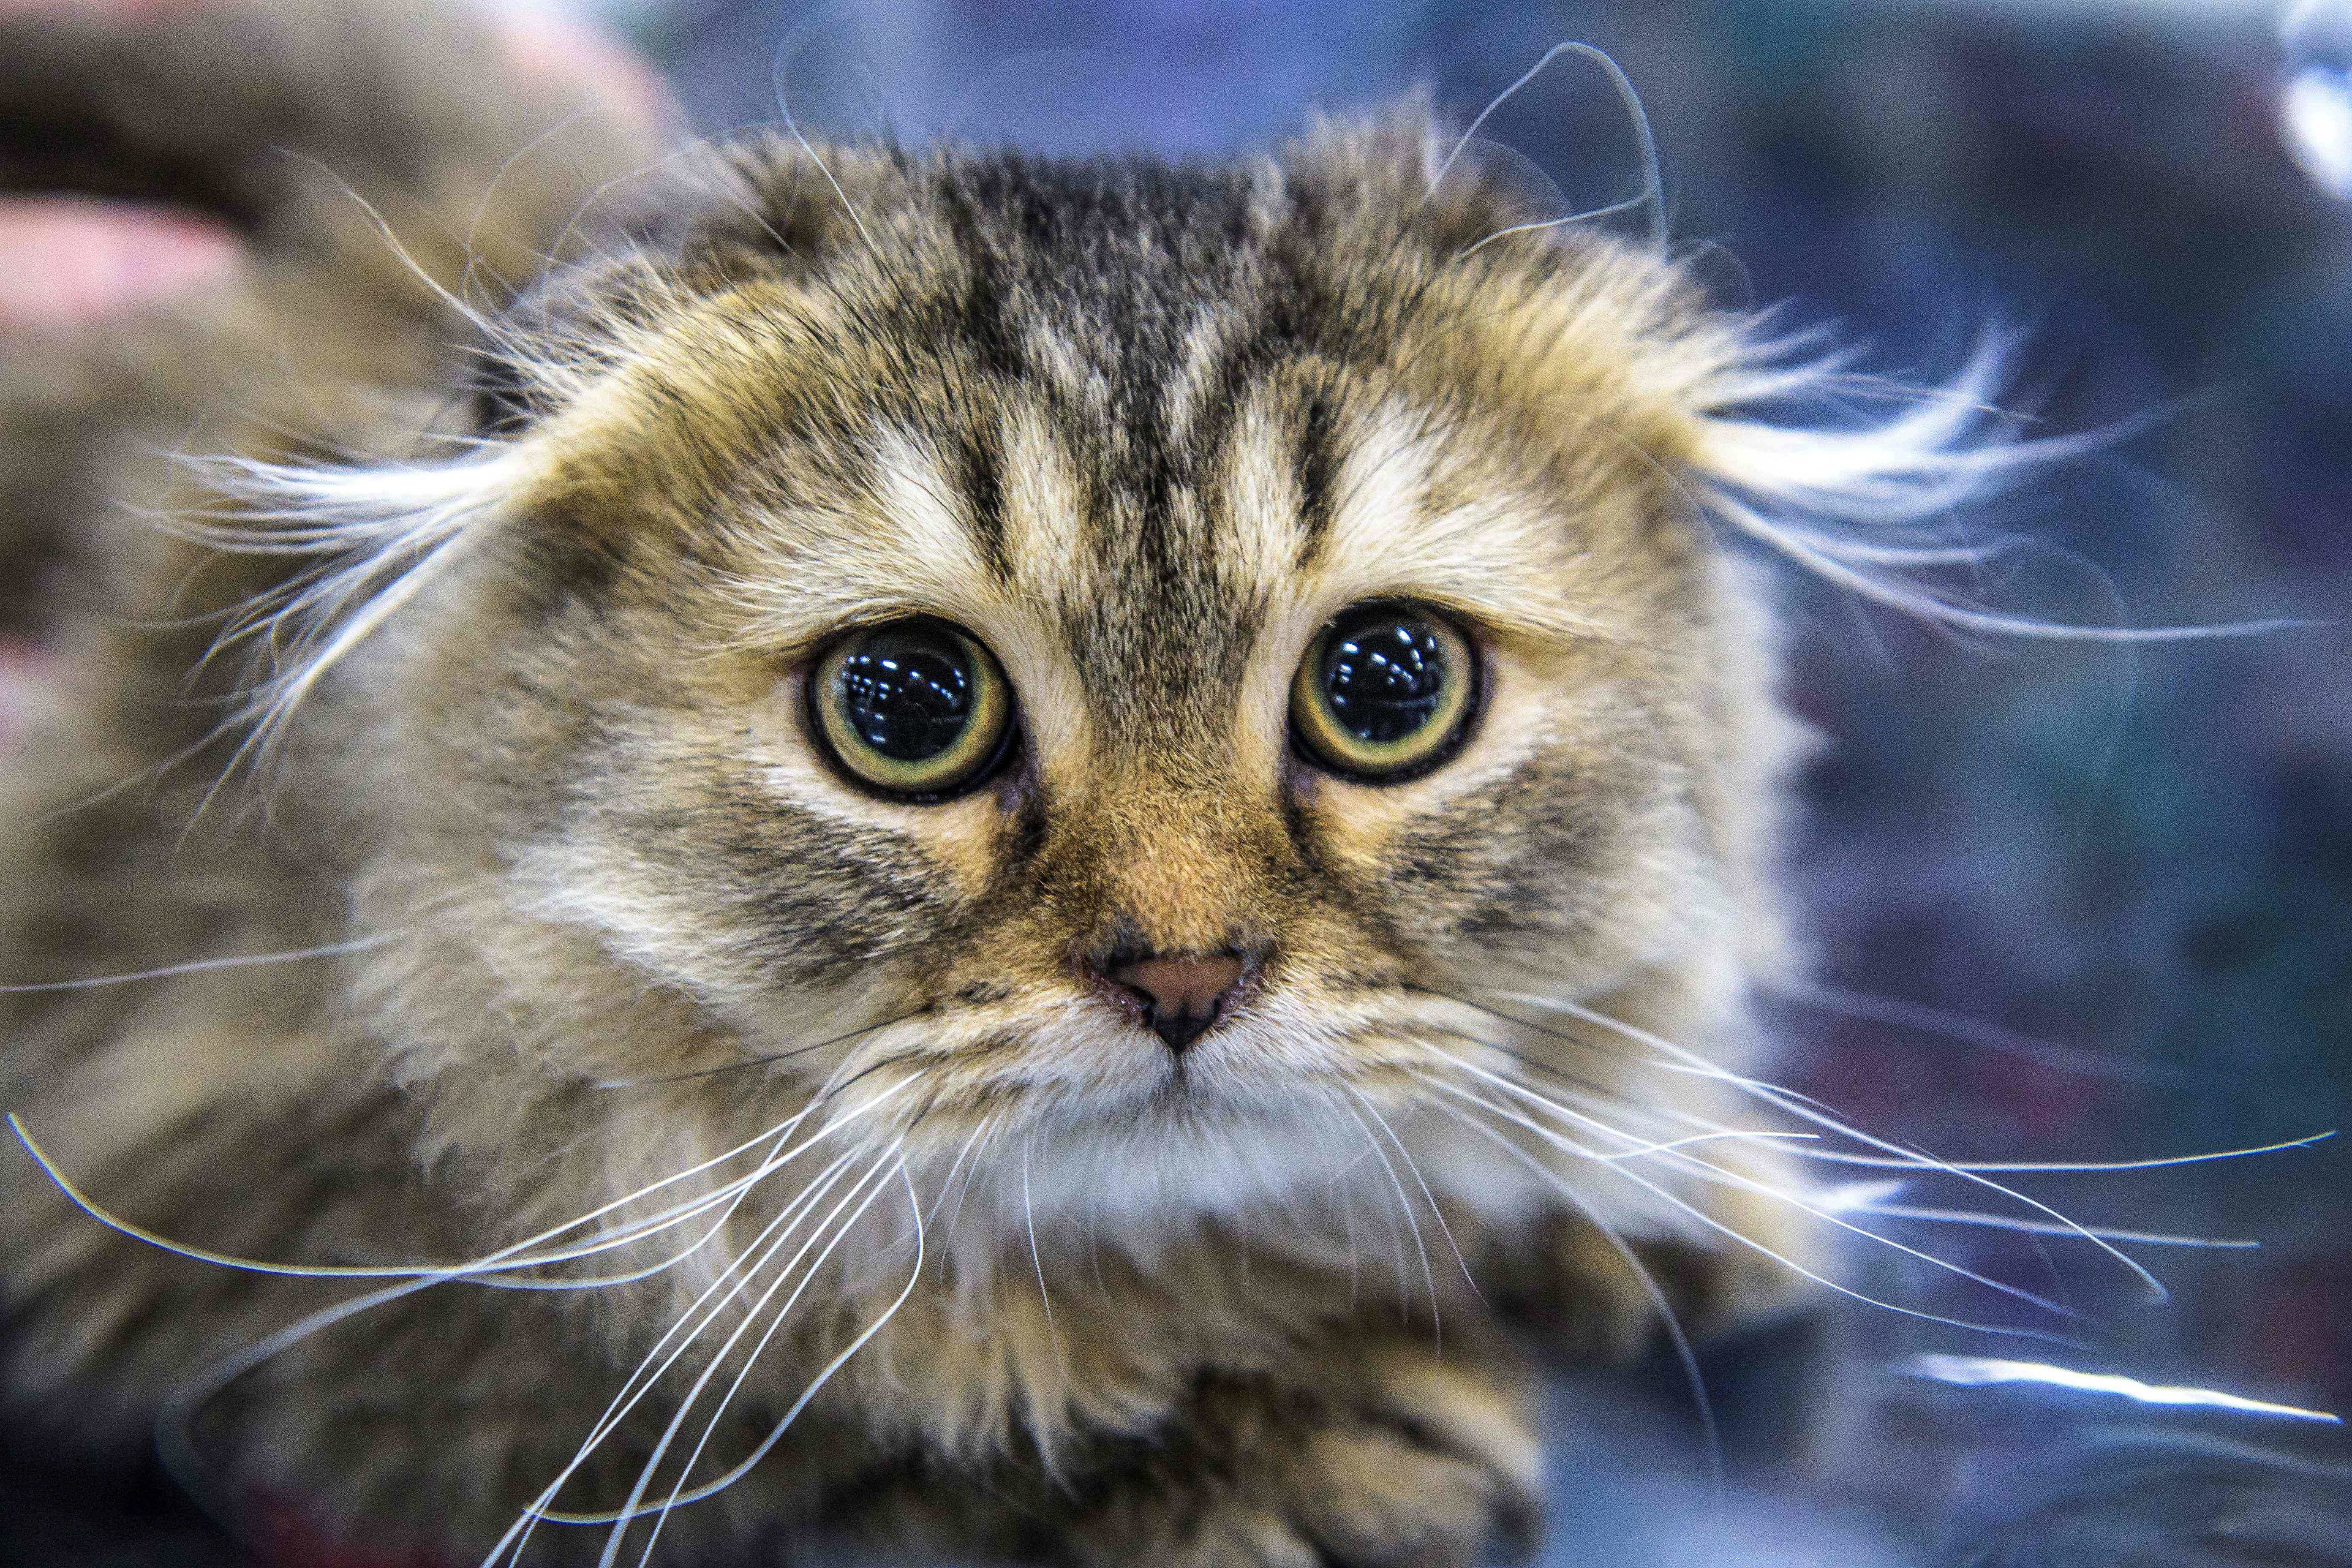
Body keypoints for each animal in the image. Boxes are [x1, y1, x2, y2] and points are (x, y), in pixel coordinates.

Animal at [0, 3, 2098, 1568]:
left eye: (1388, 688)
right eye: (906, 709)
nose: (1183, 974)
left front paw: (1647, 1193)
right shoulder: (205, 1167)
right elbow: (749, 1395)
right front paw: (1269, 1438)